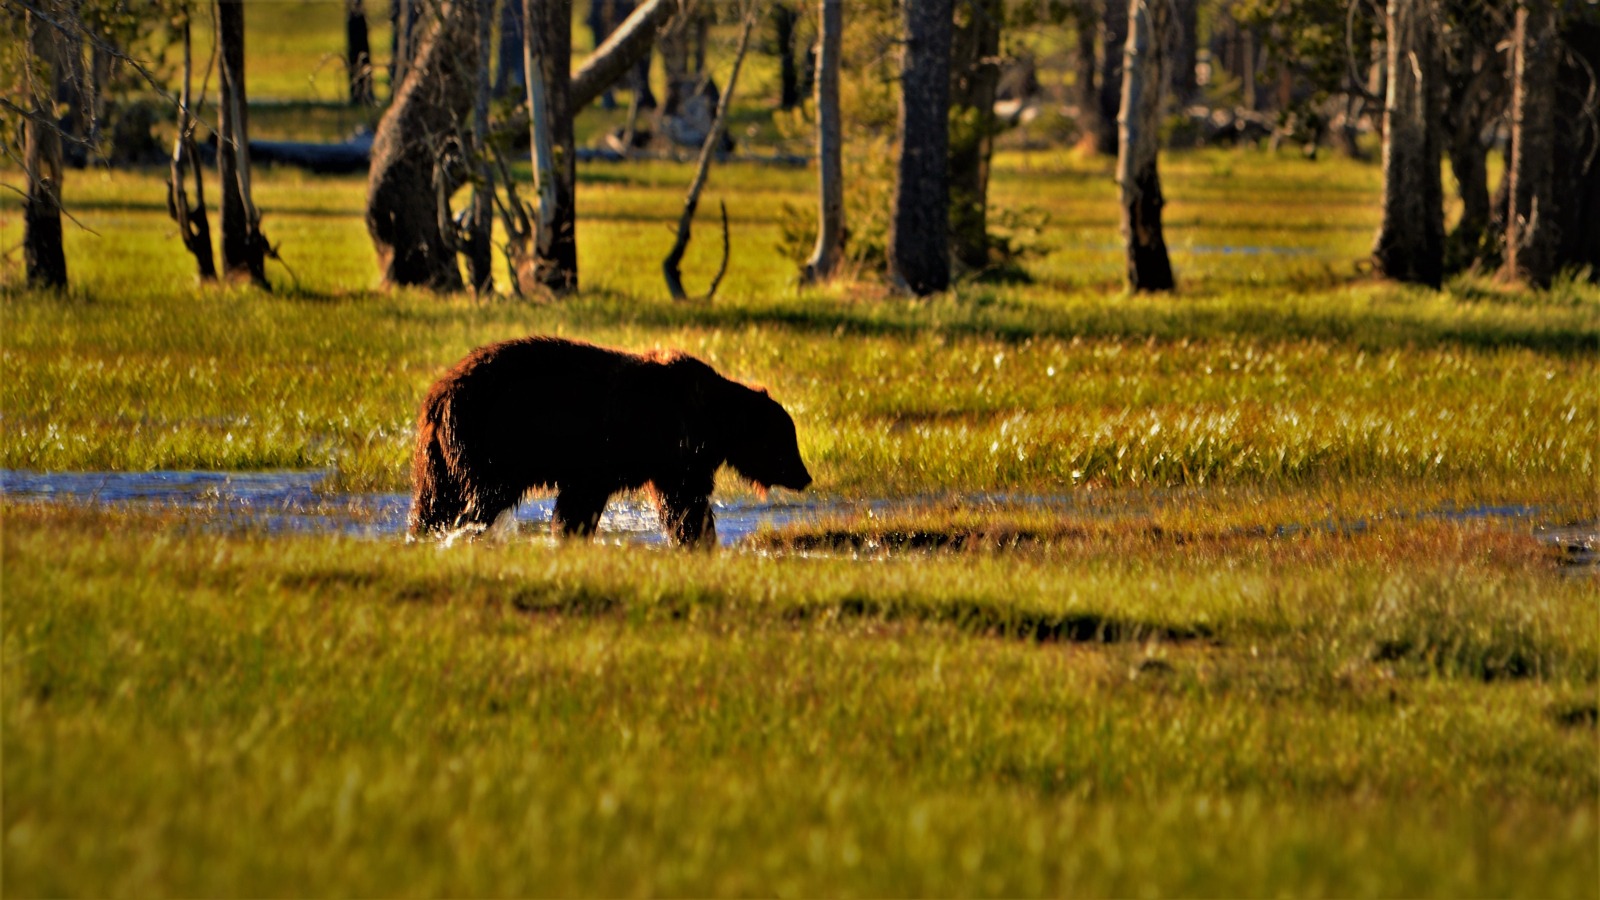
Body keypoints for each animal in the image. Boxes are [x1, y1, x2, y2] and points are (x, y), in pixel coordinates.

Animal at [409, 334, 812, 547]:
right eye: (788, 441)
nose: (805, 476)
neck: (711, 419)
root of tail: (437, 396)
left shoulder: (660, 462)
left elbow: (676, 504)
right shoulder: (658, 453)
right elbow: (686, 501)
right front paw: (701, 540)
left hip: (442, 455)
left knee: (435, 500)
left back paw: (423, 533)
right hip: (490, 441)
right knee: (481, 498)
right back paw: (466, 532)